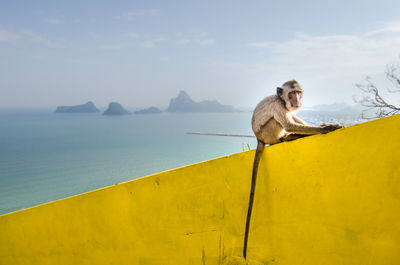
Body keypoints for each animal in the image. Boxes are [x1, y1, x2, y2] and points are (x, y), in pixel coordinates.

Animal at [242, 79, 342, 256]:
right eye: (291, 93)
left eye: (298, 93)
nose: (296, 99)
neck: (281, 100)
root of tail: (258, 138)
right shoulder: (278, 106)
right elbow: (288, 124)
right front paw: (325, 128)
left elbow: (293, 118)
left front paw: (324, 124)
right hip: (268, 133)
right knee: (277, 122)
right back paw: (285, 138)